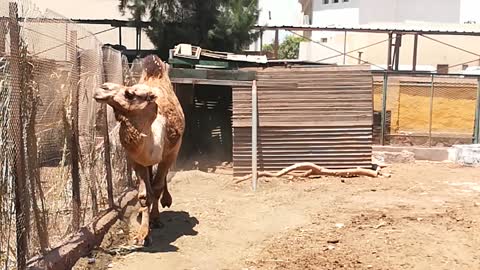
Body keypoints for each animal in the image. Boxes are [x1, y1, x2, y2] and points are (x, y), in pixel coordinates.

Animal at [93, 54, 184, 245]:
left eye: (129, 94)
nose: (102, 88)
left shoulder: (170, 155)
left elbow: (157, 187)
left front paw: (155, 220)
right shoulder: (136, 161)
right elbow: (144, 196)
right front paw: (143, 234)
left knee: (160, 181)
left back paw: (166, 201)